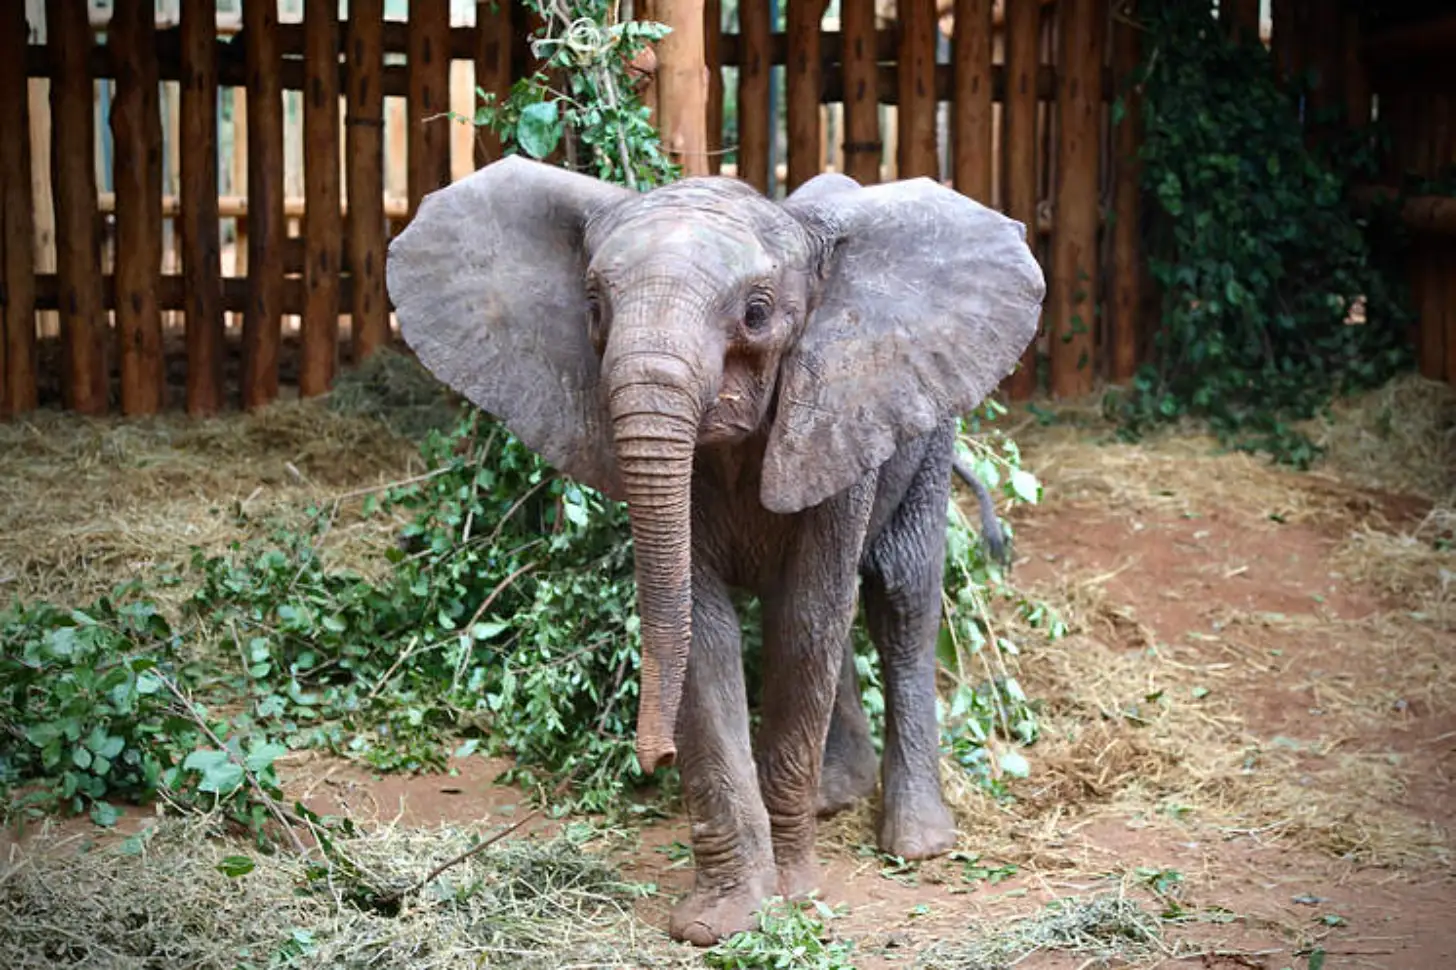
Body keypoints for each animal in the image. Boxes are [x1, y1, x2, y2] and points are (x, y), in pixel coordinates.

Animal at [385, 156, 1044, 945]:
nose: (654, 758)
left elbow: (806, 619)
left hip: (928, 424)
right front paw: (722, 919)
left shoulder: (836, 408)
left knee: (900, 597)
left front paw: (793, 894)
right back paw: (836, 797)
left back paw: (917, 843)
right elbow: (707, 630)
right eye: (594, 308)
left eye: (757, 314)